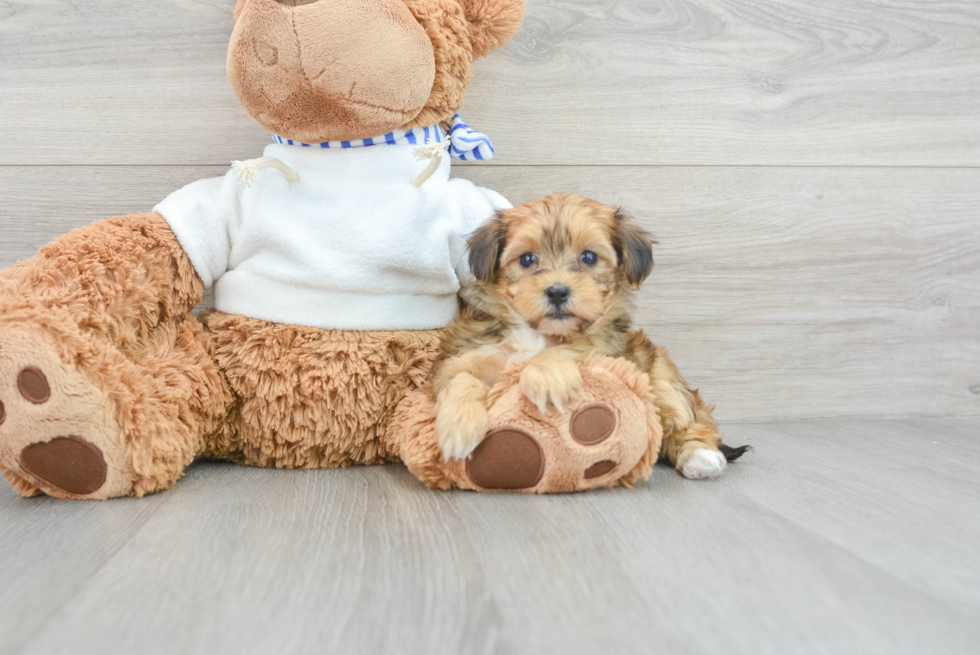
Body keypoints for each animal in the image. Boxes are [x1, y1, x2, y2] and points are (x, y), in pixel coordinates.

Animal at [432, 192, 748, 480]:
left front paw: (547, 377)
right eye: (527, 259)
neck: (539, 335)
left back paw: (700, 456)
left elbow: (573, 349)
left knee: (685, 422)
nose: (557, 291)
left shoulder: (607, 356)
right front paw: (458, 427)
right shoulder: (466, 357)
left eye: (589, 257)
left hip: (662, 376)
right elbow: (460, 378)